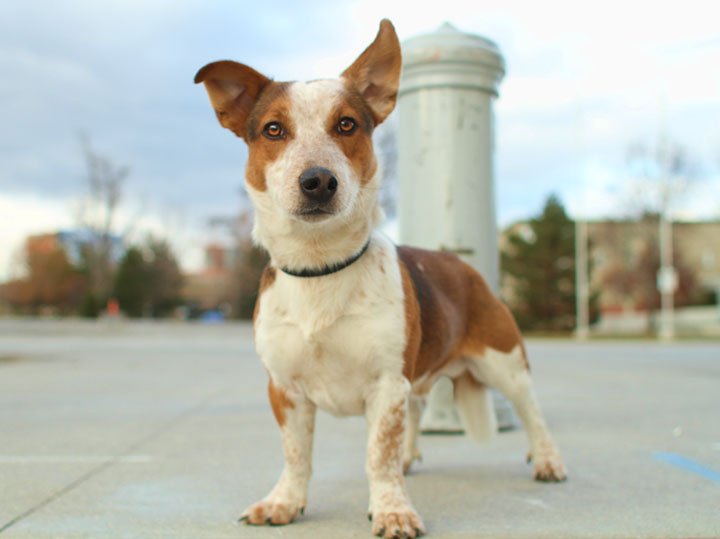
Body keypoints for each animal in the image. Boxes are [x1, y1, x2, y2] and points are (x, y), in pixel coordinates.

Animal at [194, 19, 564, 536]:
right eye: (273, 129)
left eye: (347, 124)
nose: (318, 180)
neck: (320, 268)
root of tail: (462, 264)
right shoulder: (285, 389)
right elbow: (297, 455)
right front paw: (285, 501)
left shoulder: (387, 383)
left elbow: (378, 456)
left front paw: (392, 507)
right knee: (418, 409)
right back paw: (412, 457)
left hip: (505, 362)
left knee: (533, 413)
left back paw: (547, 460)